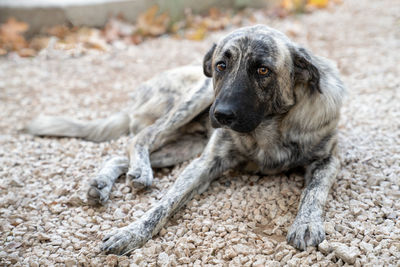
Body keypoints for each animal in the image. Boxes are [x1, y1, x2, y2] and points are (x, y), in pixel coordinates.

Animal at [25, 25, 344, 255]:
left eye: (263, 70)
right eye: (221, 65)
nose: (221, 114)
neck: (269, 128)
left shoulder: (328, 159)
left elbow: (314, 191)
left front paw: (306, 223)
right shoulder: (205, 163)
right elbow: (163, 204)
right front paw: (131, 233)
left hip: (186, 145)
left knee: (121, 154)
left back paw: (105, 182)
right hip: (195, 100)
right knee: (141, 137)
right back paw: (139, 170)